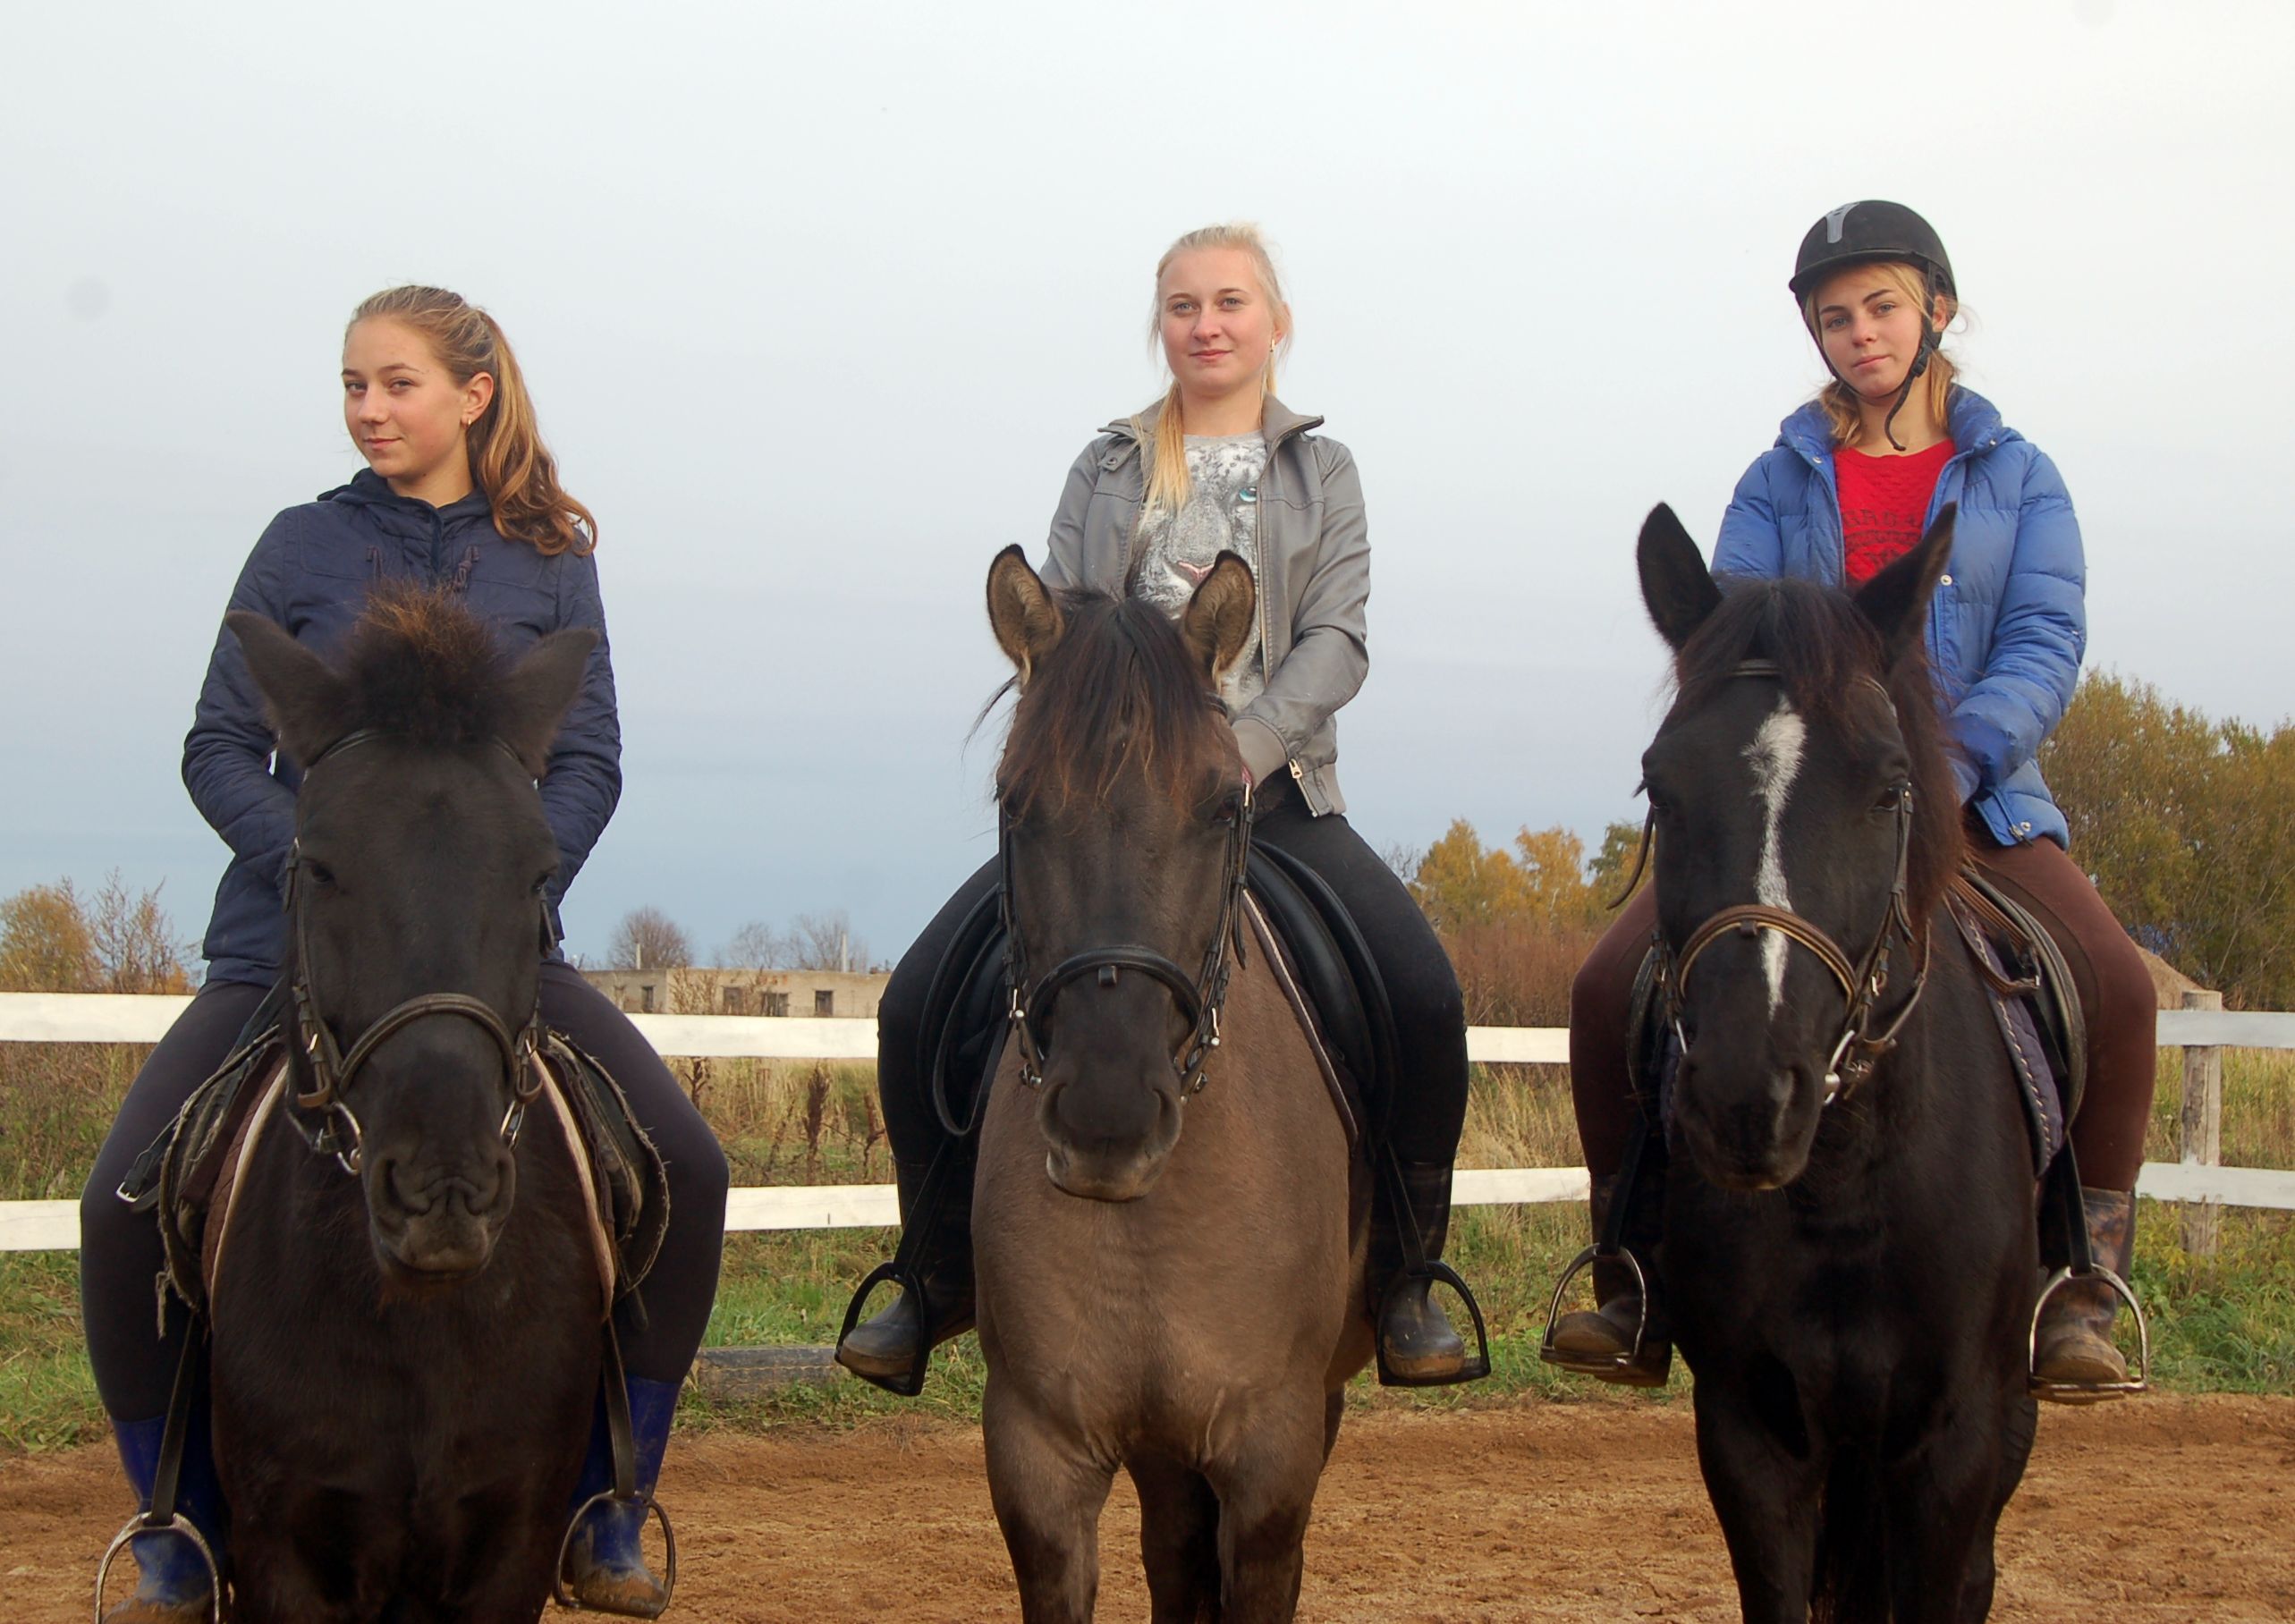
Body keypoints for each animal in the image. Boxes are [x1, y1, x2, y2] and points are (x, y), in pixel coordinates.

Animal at [1632, 504, 2041, 1622]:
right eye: (1660, 785)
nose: (1746, 1095)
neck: (1848, 1179)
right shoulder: (1750, 1433)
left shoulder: (1956, 1444)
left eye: (1890, 788)